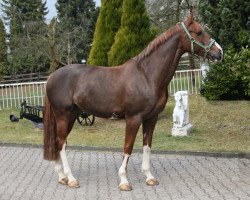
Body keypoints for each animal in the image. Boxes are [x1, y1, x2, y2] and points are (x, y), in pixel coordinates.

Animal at [43, 15, 223, 191]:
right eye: (198, 32)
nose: (219, 52)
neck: (147, 75)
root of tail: (51, 77)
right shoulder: (133, 118)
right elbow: (128, 147)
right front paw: (124, 181)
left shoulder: (151, 118)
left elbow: (147, 146)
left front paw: (149, 177)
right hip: (63, 115)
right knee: (62, 143)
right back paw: (71, 179)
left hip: (72, 115)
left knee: (59, 142)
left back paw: (62, 177)